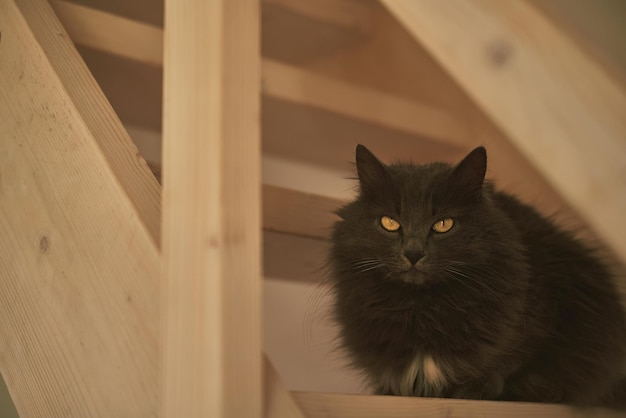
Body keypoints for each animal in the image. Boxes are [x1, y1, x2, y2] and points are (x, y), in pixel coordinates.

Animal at [326, 145, 624, 406]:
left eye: (443, 224)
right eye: (389, 223)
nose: (413, 252)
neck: (421, 309)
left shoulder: (544, 320)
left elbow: (508, 365)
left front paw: (472, 390)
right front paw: (389, 389)